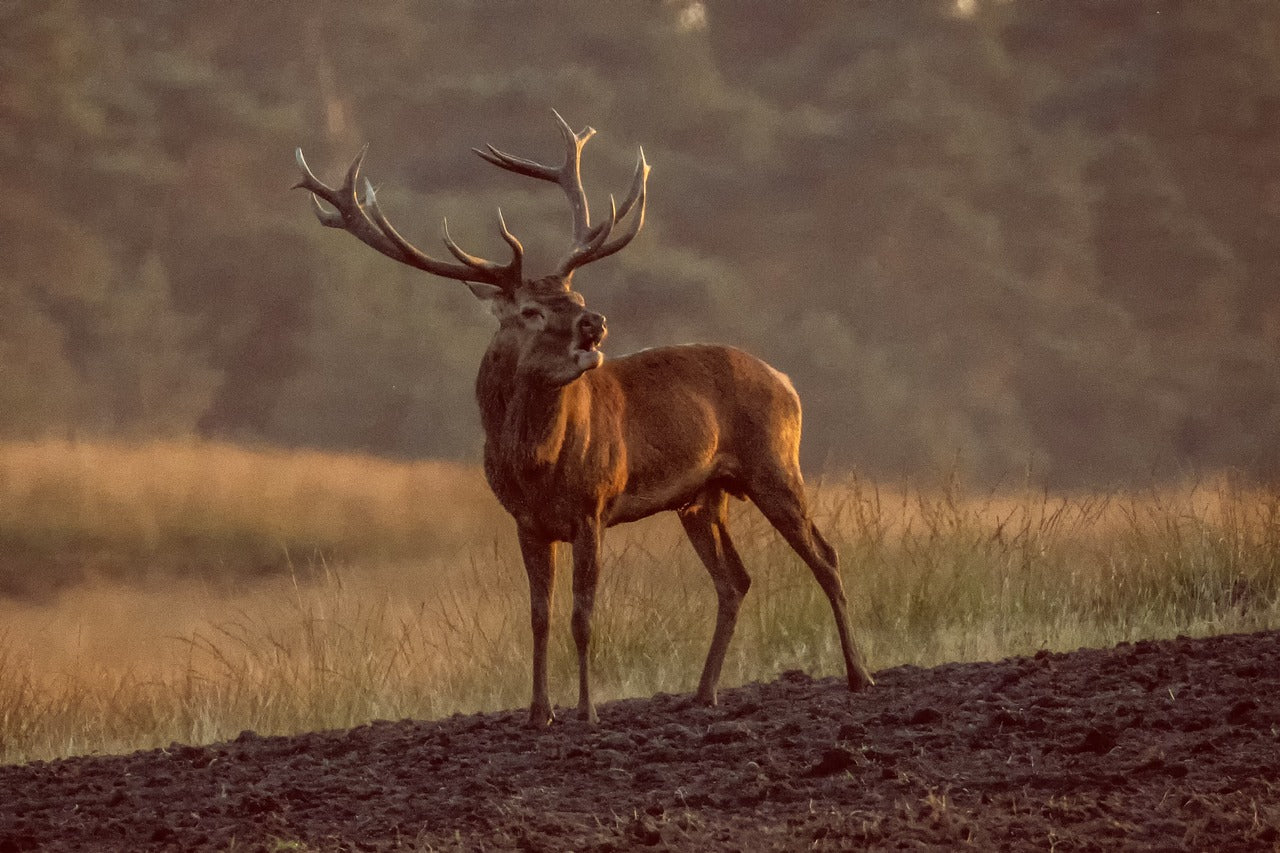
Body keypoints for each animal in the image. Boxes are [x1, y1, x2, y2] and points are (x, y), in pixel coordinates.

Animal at [294, 111, 875, 722]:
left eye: (574, 295)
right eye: (530, 310)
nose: (593, 322)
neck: (535, 464)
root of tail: (787, 381)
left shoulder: (594, 505)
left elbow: (582, 616)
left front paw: (587, 711)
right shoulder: (526, 522)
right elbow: (539, 617)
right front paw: (537, 713)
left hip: (775, 464)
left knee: (825, 556)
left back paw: (859, 677)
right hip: (703, 497)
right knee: (735, 580)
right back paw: (703, 693)